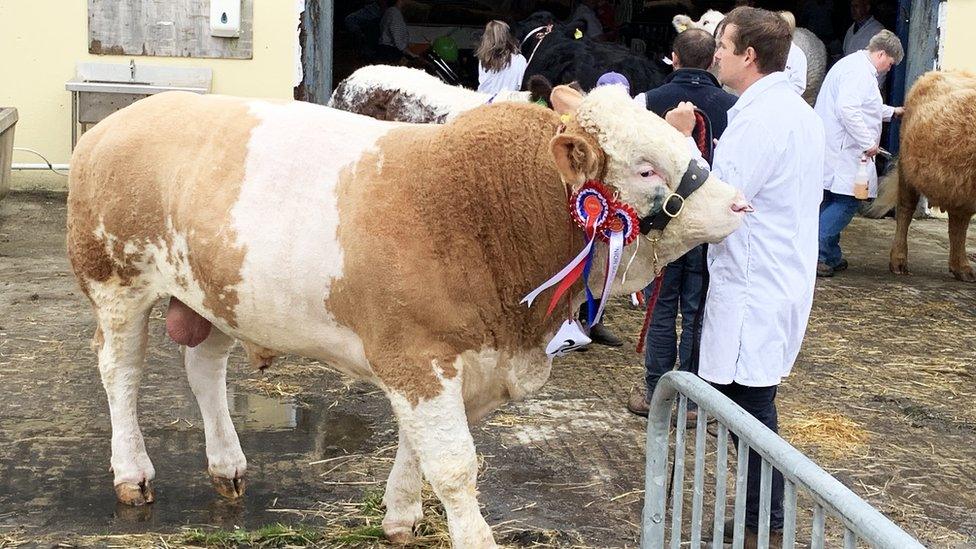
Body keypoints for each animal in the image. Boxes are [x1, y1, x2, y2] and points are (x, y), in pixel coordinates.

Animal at [65, 83, 744, 544]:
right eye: (647, 167)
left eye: (682, 139)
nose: (739, 203)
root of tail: (117, 121)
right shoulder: (418, 357)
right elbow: (454, 465)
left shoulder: (465, 364)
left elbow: (419, 448)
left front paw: (399, 515)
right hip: (117, 282)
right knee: (120, 374)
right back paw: (133, 473)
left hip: (217, 293)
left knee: (204, 369)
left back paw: (228, 465)